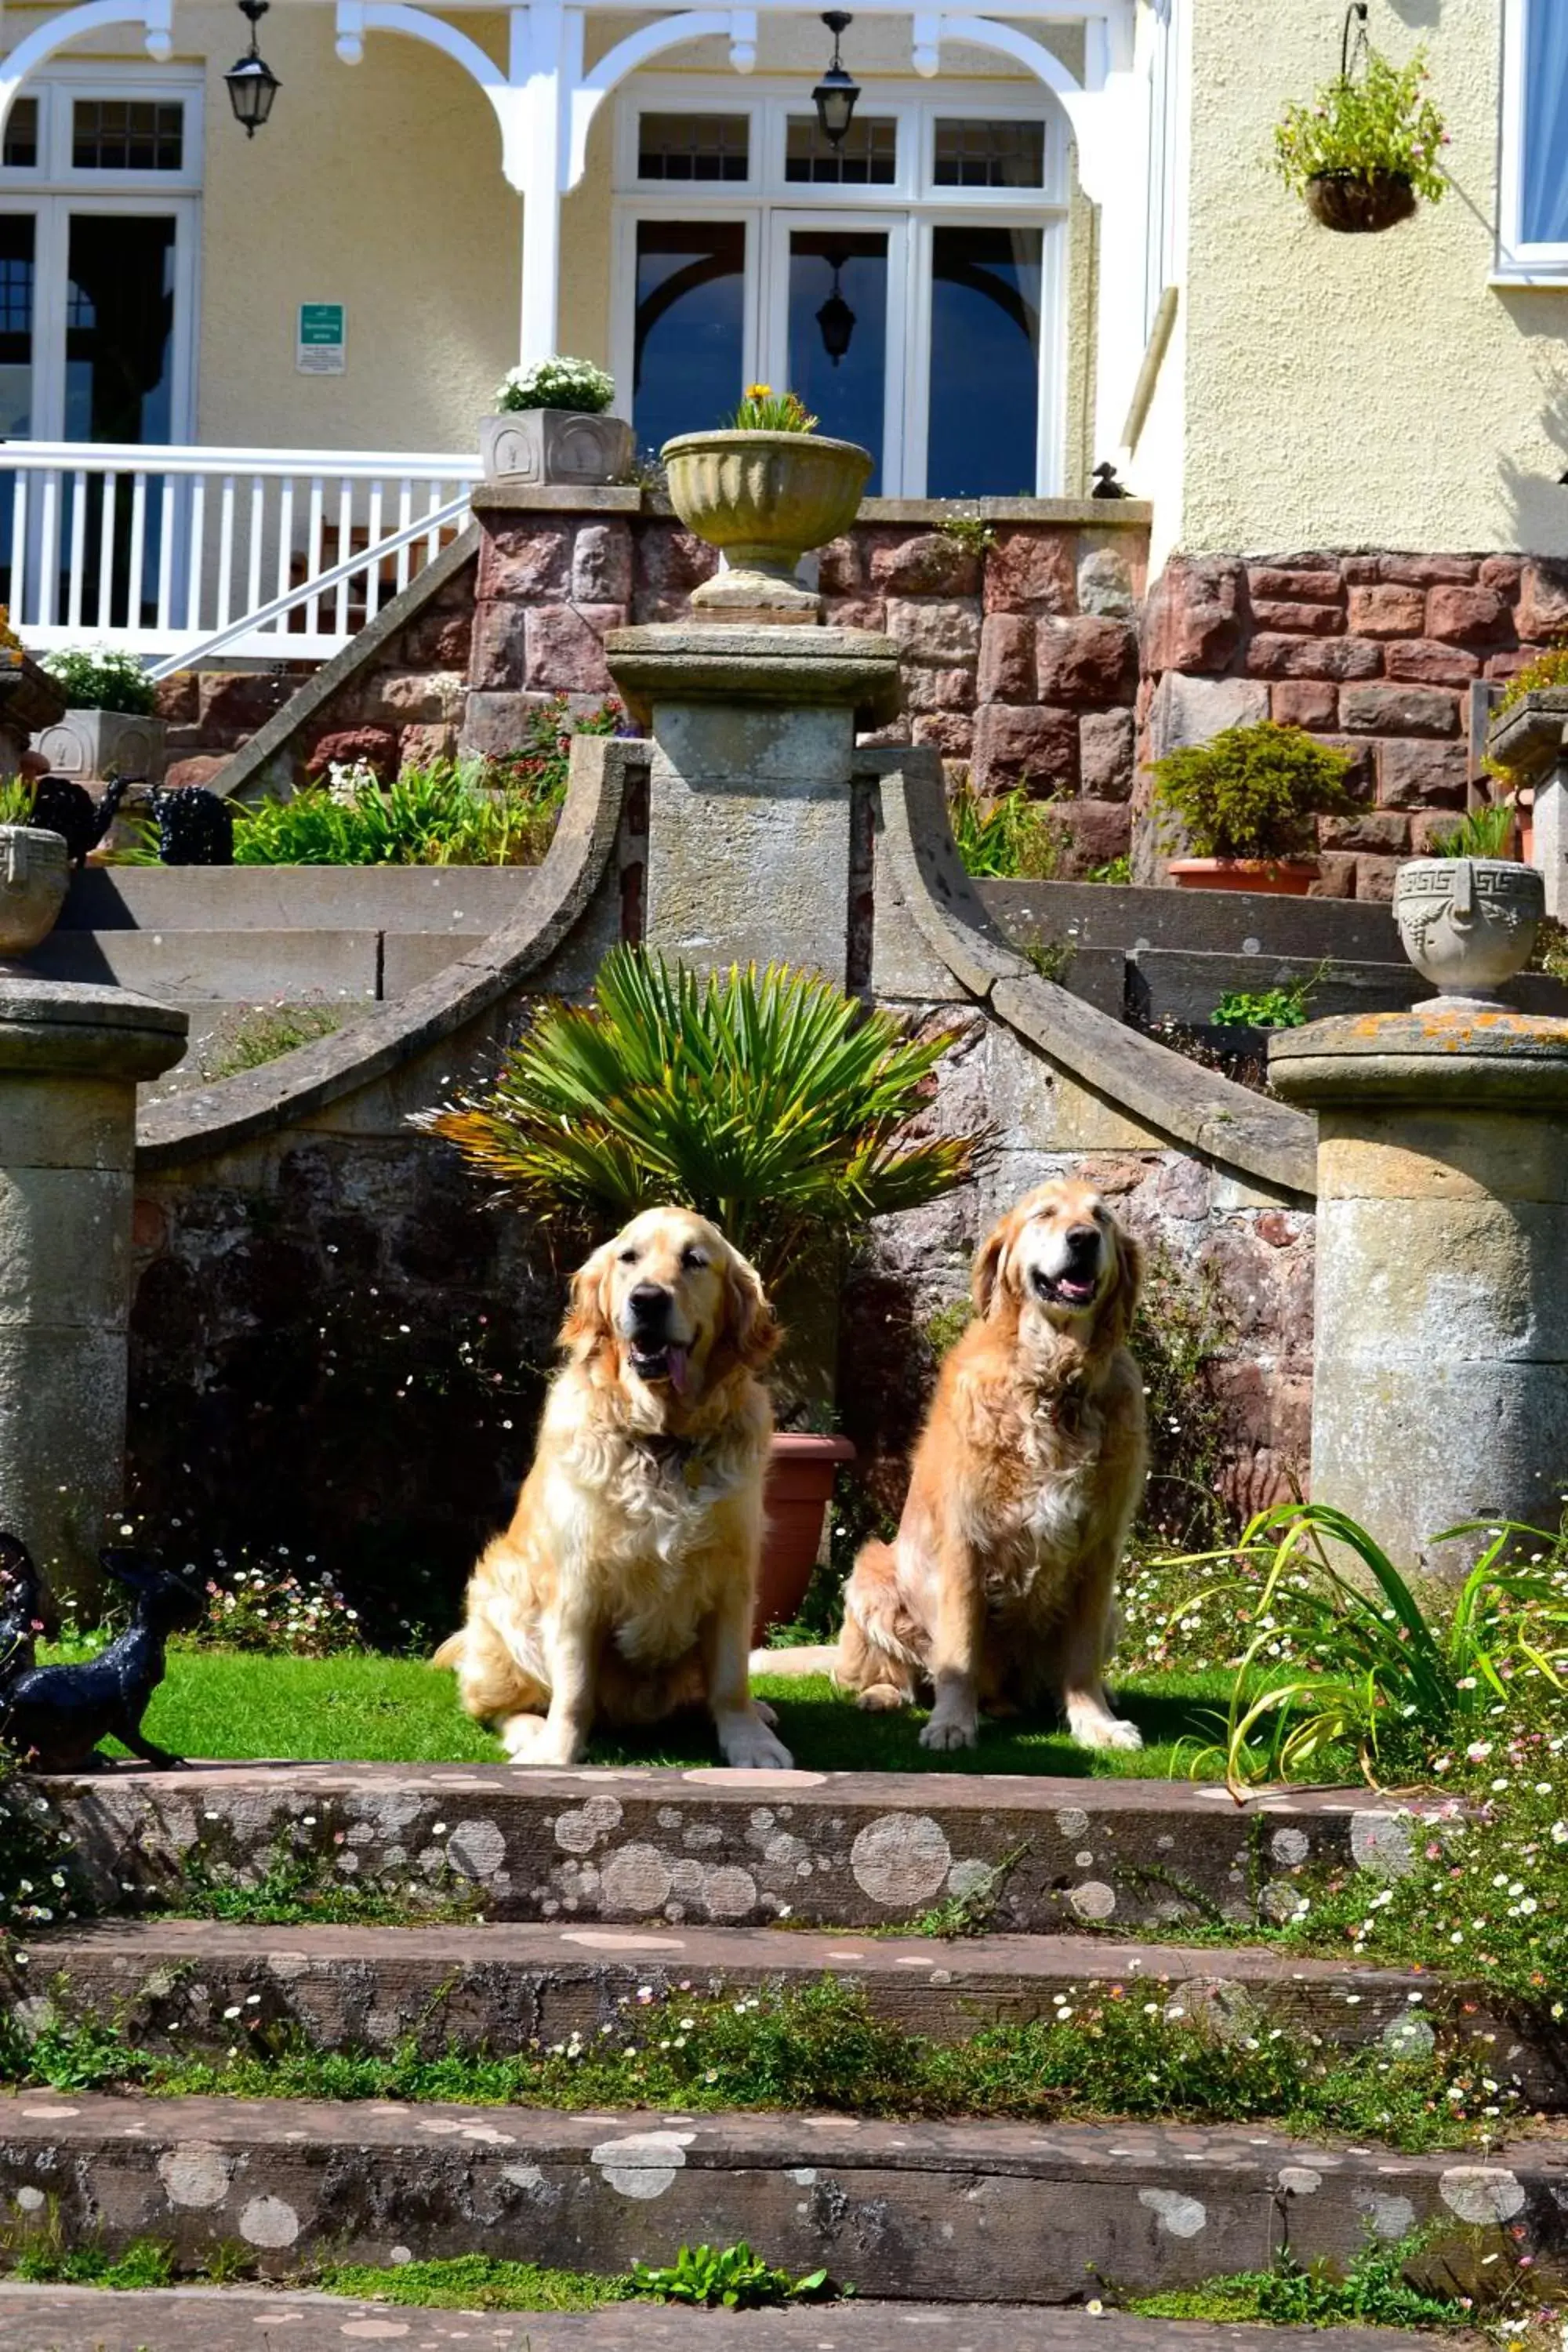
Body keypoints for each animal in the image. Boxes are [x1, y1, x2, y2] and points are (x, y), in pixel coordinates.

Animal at [434, 1204, 789, 1769]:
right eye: (629, 1257)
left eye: (694, 1260)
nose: (647, 1299)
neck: (663, 1439)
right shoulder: (579, 1583)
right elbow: (574, 1688)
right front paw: (557, 1750)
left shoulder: (734, 1576)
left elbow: (732, 1679)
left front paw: (751, 1741)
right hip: (502, 1600)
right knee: (494, 1703)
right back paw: (528, 1730)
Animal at [822, 1176, 1142, 1750]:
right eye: (1045, 1214)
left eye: (1101, 1217)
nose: (1083, 1238)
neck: (1052, 1383)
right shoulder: (966, 1544)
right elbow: (960, 1651)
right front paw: (951, 1723)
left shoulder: (1099, 1550)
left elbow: (1081, 1659)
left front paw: (1096, 1722)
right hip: (871, 1575)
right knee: (890, 1673)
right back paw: (882, 1694)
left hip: (1113, 1609)